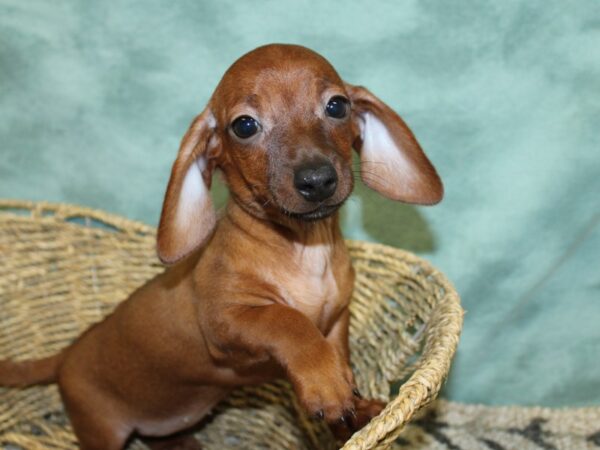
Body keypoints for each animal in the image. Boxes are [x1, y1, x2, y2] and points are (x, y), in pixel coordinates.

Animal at [0, 43, 440, 450]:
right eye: (244, 126)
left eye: (337, 105)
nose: (316, 180)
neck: (303, 249)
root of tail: (68, 353)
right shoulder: (227, 321)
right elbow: (288, 320)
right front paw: (326, 385)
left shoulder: (335, 321)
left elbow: (337, 356)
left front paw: (355, 407)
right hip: (100, 428)